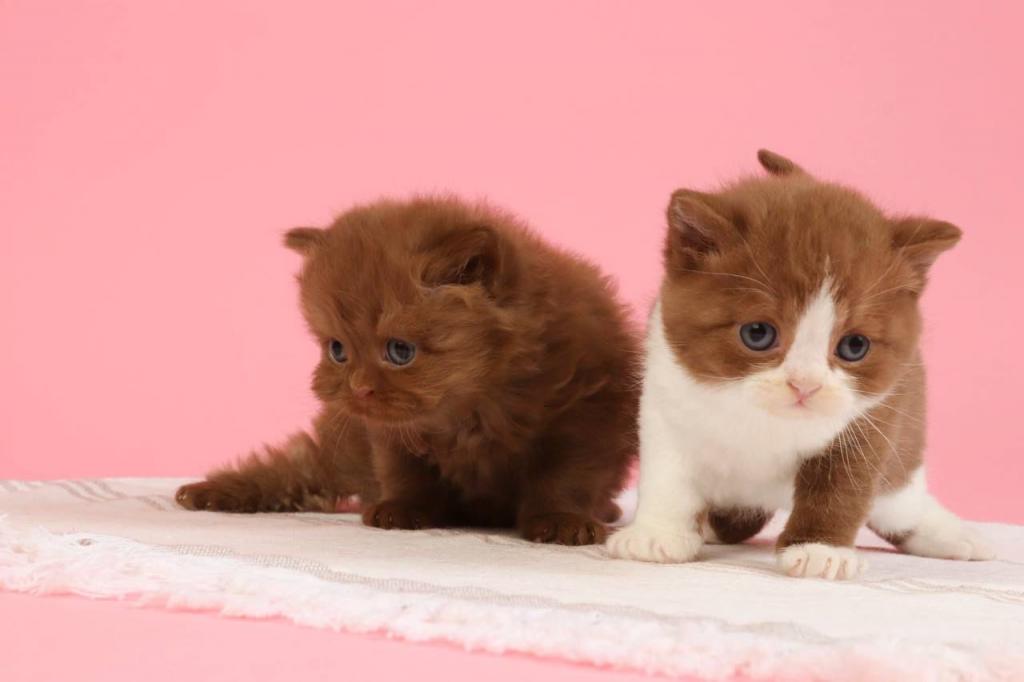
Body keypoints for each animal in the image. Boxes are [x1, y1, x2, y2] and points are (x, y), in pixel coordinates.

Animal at [176, 196, 639, 545]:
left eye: (400, 350)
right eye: (338, 349)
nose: (358, 388)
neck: (472, 407)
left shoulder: (585, 417)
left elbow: (566, 477)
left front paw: (562, 521)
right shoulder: (389, 431)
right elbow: (404, 470)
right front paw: (401, 509)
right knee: (297, 468)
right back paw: (209, 493)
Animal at [607, 149, 994, 578]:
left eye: (854, 345)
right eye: (758, 333)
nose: (805, 384)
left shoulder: (872, 419)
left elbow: (843, 484)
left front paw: (819, 549)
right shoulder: (666, 395)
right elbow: (668, 473)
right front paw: (656, 534)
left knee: (900, 499)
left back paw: (950, 532)